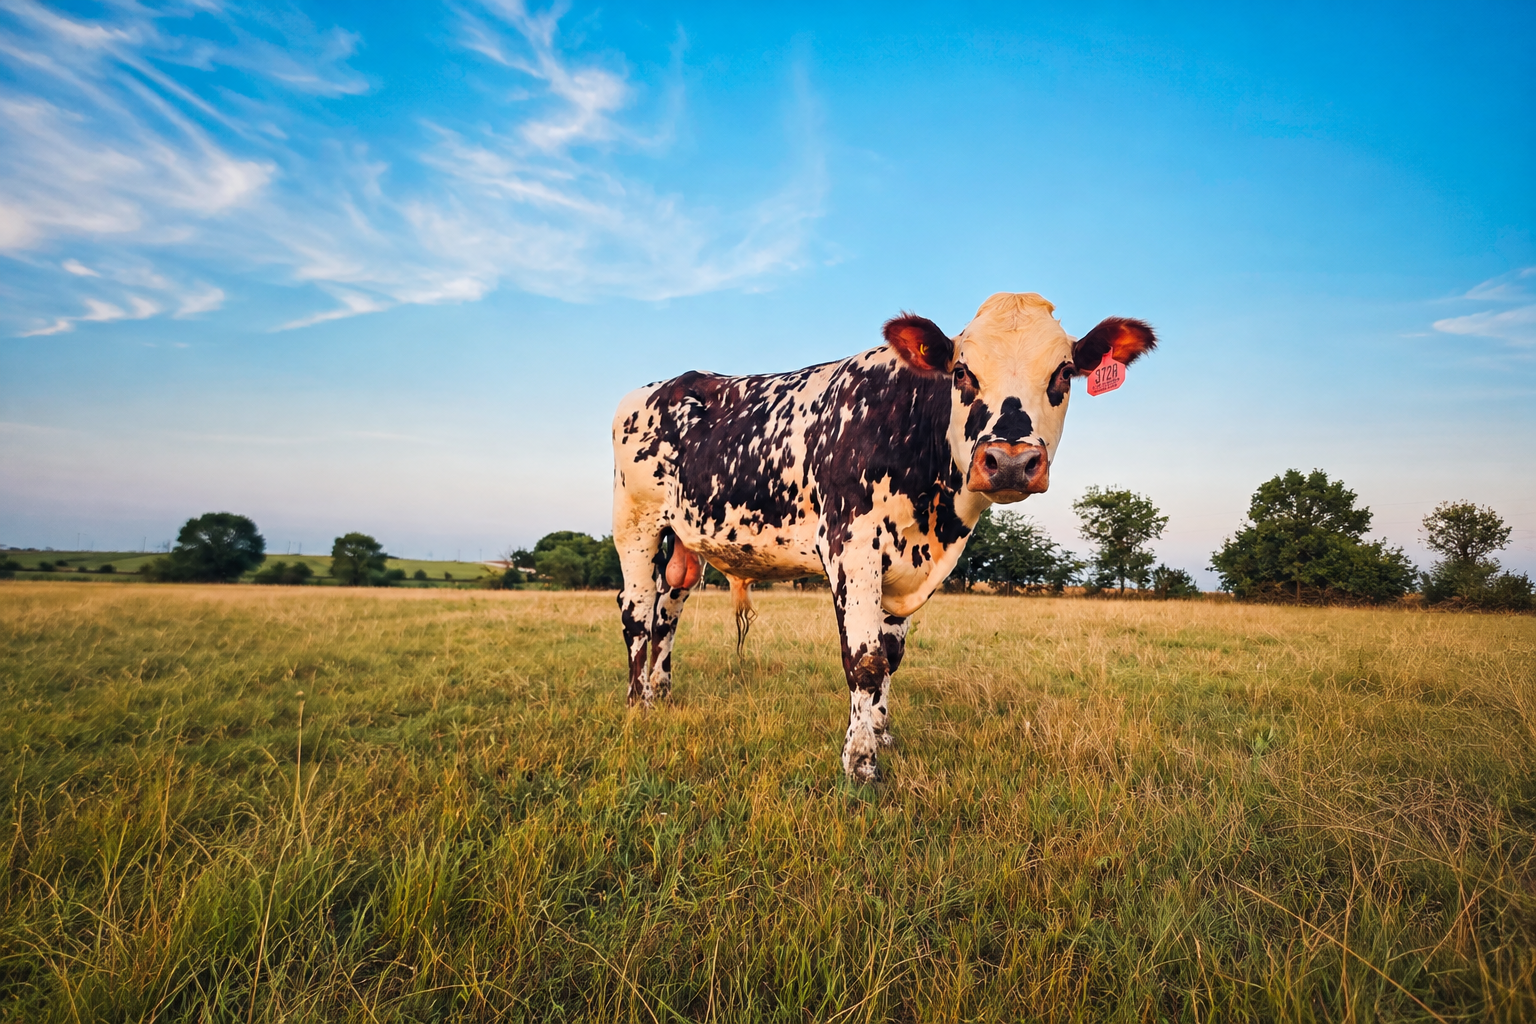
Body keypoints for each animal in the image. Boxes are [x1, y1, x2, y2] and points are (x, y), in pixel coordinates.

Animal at [611, 292, 1156, 781]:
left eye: (1062, 373)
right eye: (962, 372)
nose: (1010, 460)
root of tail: (662, 386)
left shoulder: (908, 562)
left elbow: (891, 659)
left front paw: (881, 733)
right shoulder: (850, 545)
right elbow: (866, 660)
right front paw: (860, 762)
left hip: (685, 541)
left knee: (667, 614)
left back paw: (662, 693)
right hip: (636, 524)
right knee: (637, 614)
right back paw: (638, 704)